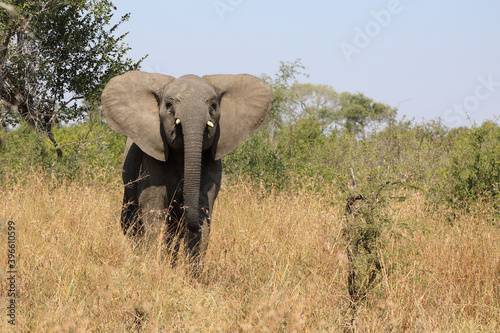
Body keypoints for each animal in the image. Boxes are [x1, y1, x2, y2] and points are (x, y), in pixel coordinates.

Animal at [101, 70, 272, 272]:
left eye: (213, 106)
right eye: (168, 105)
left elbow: (202, 209)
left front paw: (191, 276)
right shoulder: (150, 160)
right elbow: (154, 210)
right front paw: (155, 269)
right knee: (132, 223)